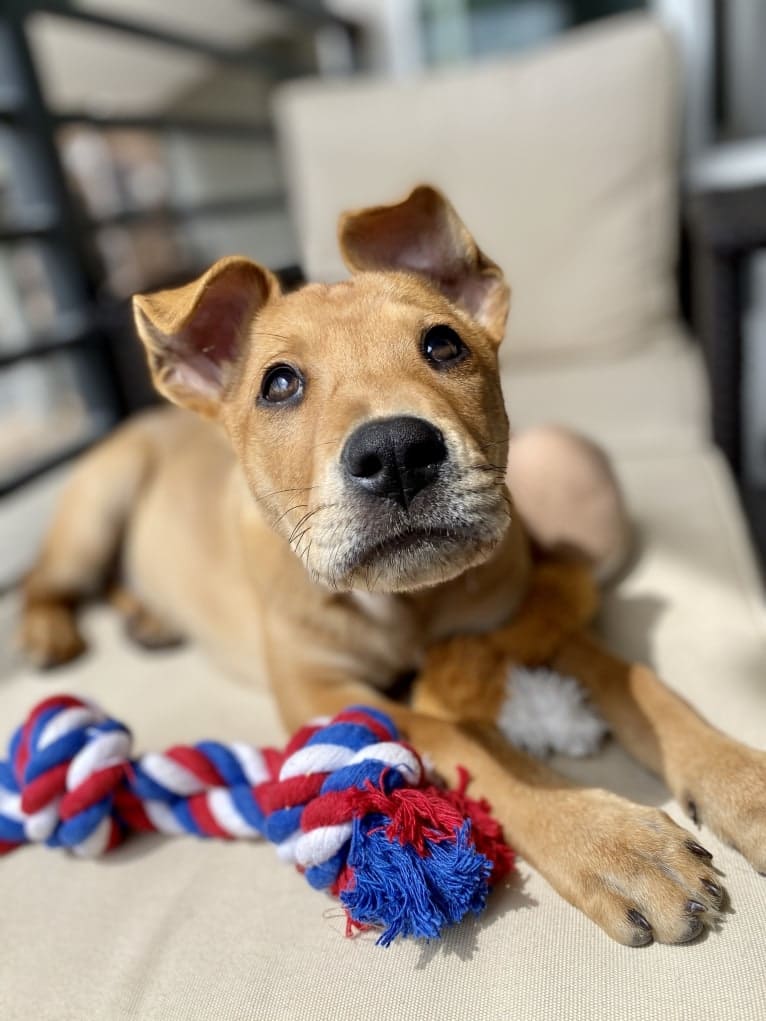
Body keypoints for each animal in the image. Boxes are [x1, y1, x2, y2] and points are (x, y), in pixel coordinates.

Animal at [20, 185, 766, 947]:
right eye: (278, 384)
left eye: (443, 343)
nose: (398, 451)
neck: (405, 601)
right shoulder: (318, 690)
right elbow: (459, 736)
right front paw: (613, 841)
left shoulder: (525, 620)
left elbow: (643, 686)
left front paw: (743, 784)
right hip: (97, 504)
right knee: (46, 580)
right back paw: (51, 633)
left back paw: (147, 618)